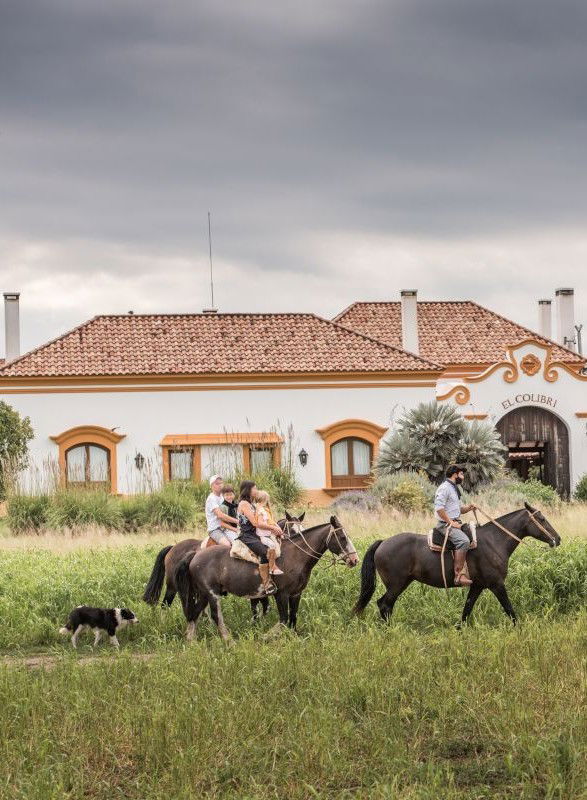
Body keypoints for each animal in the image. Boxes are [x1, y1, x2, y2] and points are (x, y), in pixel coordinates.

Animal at [144, 512, 306, 620]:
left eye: (303, 529)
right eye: (292, 530)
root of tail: (173, 548)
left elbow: (260, 605)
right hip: (172, 586)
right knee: (165, 604)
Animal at [175, 516, 358, 640]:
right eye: (342, 537)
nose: (354, 559)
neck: (296, 556)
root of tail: (195, 555)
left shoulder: (295, 594)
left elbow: (293, 617)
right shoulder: (281, 594)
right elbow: (283, 619)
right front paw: (267, 636)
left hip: (204, 594)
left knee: (194, 614)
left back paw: (191, 640)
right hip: (212, 594)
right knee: (215, 616)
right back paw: (228, 641)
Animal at [354, 504, 560, 628]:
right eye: (542, 519)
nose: (557, 539)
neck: (495, 541)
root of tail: (382, 543)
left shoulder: (478, 586)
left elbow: (467, 609)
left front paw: (459, 629)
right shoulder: (496, 584)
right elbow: (509, 609)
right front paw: (519, 629)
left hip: (401, 584)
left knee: (386, 605)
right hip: (397, 584)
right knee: (384, 604)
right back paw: (388, 630)